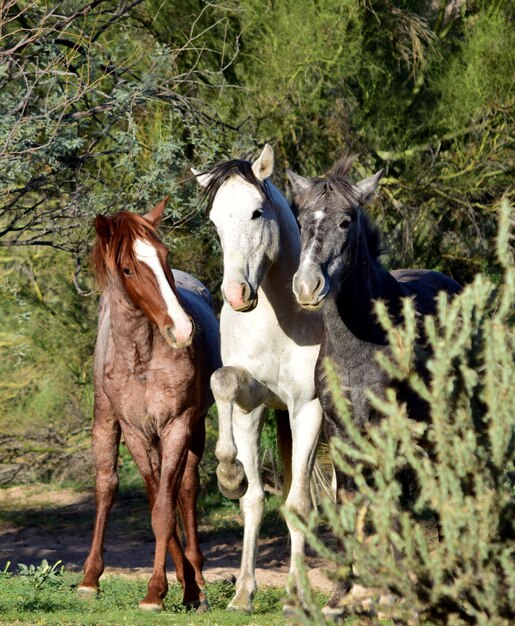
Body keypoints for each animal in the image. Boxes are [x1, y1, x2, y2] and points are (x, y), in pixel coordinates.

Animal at [77, 196, 221, 608]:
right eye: (128, 268)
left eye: (164, 255)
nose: (183, 329)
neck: (140, 358)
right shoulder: (135, 431)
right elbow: (157, 504)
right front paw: (165, 588)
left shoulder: (177, 425)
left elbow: (166, 508)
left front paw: (166, 589)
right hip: (106, 423)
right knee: (107, 486)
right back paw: (91, 578)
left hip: (195, 429)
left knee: (186, 489)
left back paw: (197, 576)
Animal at [194, 144, 322, 612]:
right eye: (215, 221)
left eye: (255, 212)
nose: (236, 295)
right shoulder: (252, 404)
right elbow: (252, 500)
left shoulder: (308, 410)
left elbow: (299, 505)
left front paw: (294, 598)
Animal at [288, 158, 462, 616]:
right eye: (301, 220)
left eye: (346, 221)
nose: (307, 287)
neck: (359, 345)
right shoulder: (340, 436)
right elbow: (348, 509)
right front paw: (340, 596)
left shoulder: (390, 434)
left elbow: (394, 509)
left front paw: (396, 595)